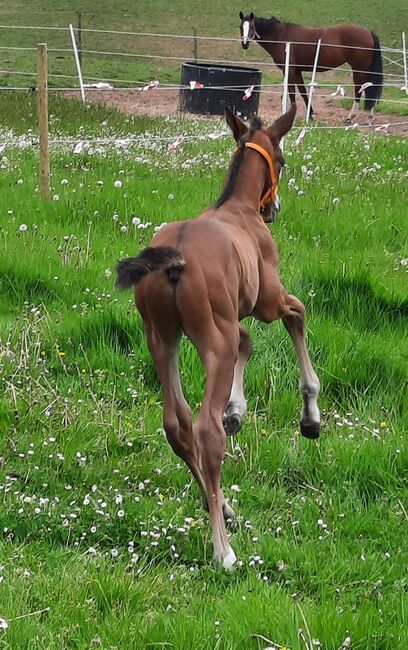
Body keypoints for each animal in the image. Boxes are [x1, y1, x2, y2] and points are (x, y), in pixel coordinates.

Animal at [116, 104, 320, 564]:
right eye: (282, 160)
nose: (273, 208)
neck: (238, 208)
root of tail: (172, 260)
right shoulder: (266, 302)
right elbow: (296, 314)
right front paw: (310, 417)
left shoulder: (232, 316)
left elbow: (248, 342)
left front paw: (236, 410)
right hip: (213, 341)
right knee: (205, 429)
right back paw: (222, 550)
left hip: (161, 339)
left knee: (177, 424)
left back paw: (223, 506)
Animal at [239, 11, 382, 121]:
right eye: (241, 27)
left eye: (251, 27)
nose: (244, 44)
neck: (281, 36)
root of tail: (368, 32)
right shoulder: (297, 71)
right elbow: (303, 92)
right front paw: (310, 115)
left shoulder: (289, 70)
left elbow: (291, 92)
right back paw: (368, 116)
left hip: (359, 70)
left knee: (360, 90)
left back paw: (351, 117)